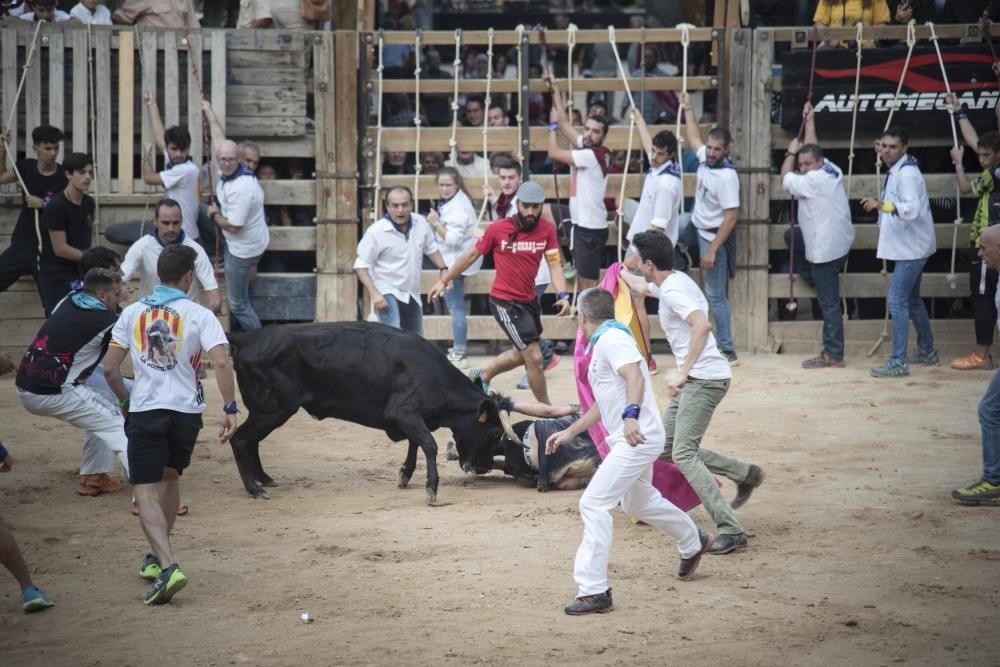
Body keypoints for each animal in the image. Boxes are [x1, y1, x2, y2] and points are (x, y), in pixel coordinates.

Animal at [227, 320, 508, 504]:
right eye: (495, 432)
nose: (484, 468)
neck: (432, 374)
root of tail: (246, 337)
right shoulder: (403, 413)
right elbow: (429, 444)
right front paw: (431, 489)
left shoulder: (411, 418)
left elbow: (415, 443)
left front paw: (405, 475)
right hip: (272, 410)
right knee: (240, 439)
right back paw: (254, 488)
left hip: (267, 412)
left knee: (252, 441)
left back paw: (264, 479)